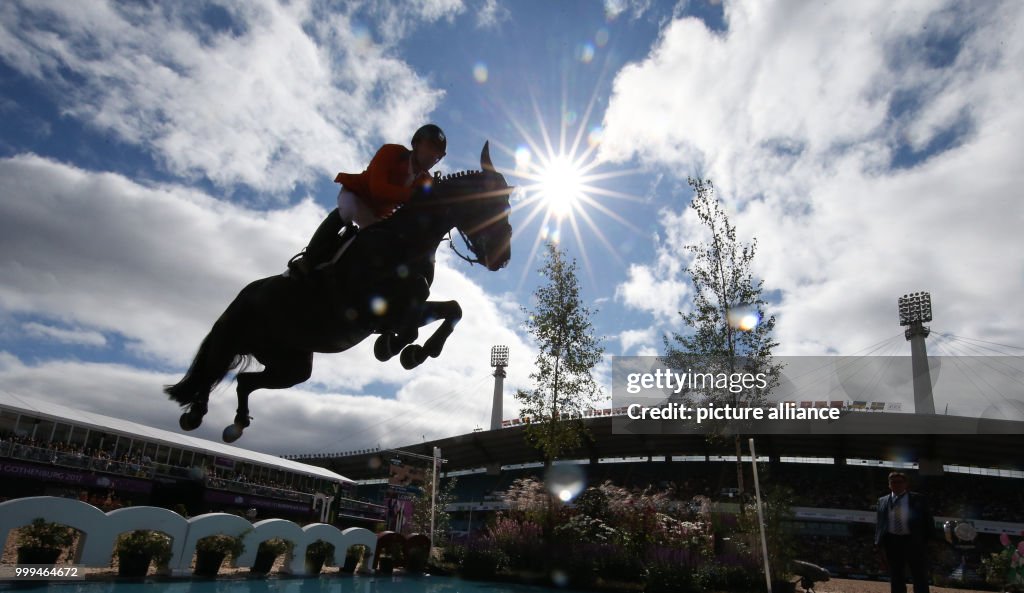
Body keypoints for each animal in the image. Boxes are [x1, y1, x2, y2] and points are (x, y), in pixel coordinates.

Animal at [166, 142, 512, 440]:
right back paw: (195, 414)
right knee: (213, 371)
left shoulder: (407, 307)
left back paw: (236, 423)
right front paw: (401, 349)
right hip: (236, 338)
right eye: (492, 203)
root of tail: (243, 293)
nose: (502, 258)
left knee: (244, 380)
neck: (406, 242)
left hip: (292, 365)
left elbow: (453, 309)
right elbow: (418, 324)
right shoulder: (372, 312)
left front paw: (411, 351)